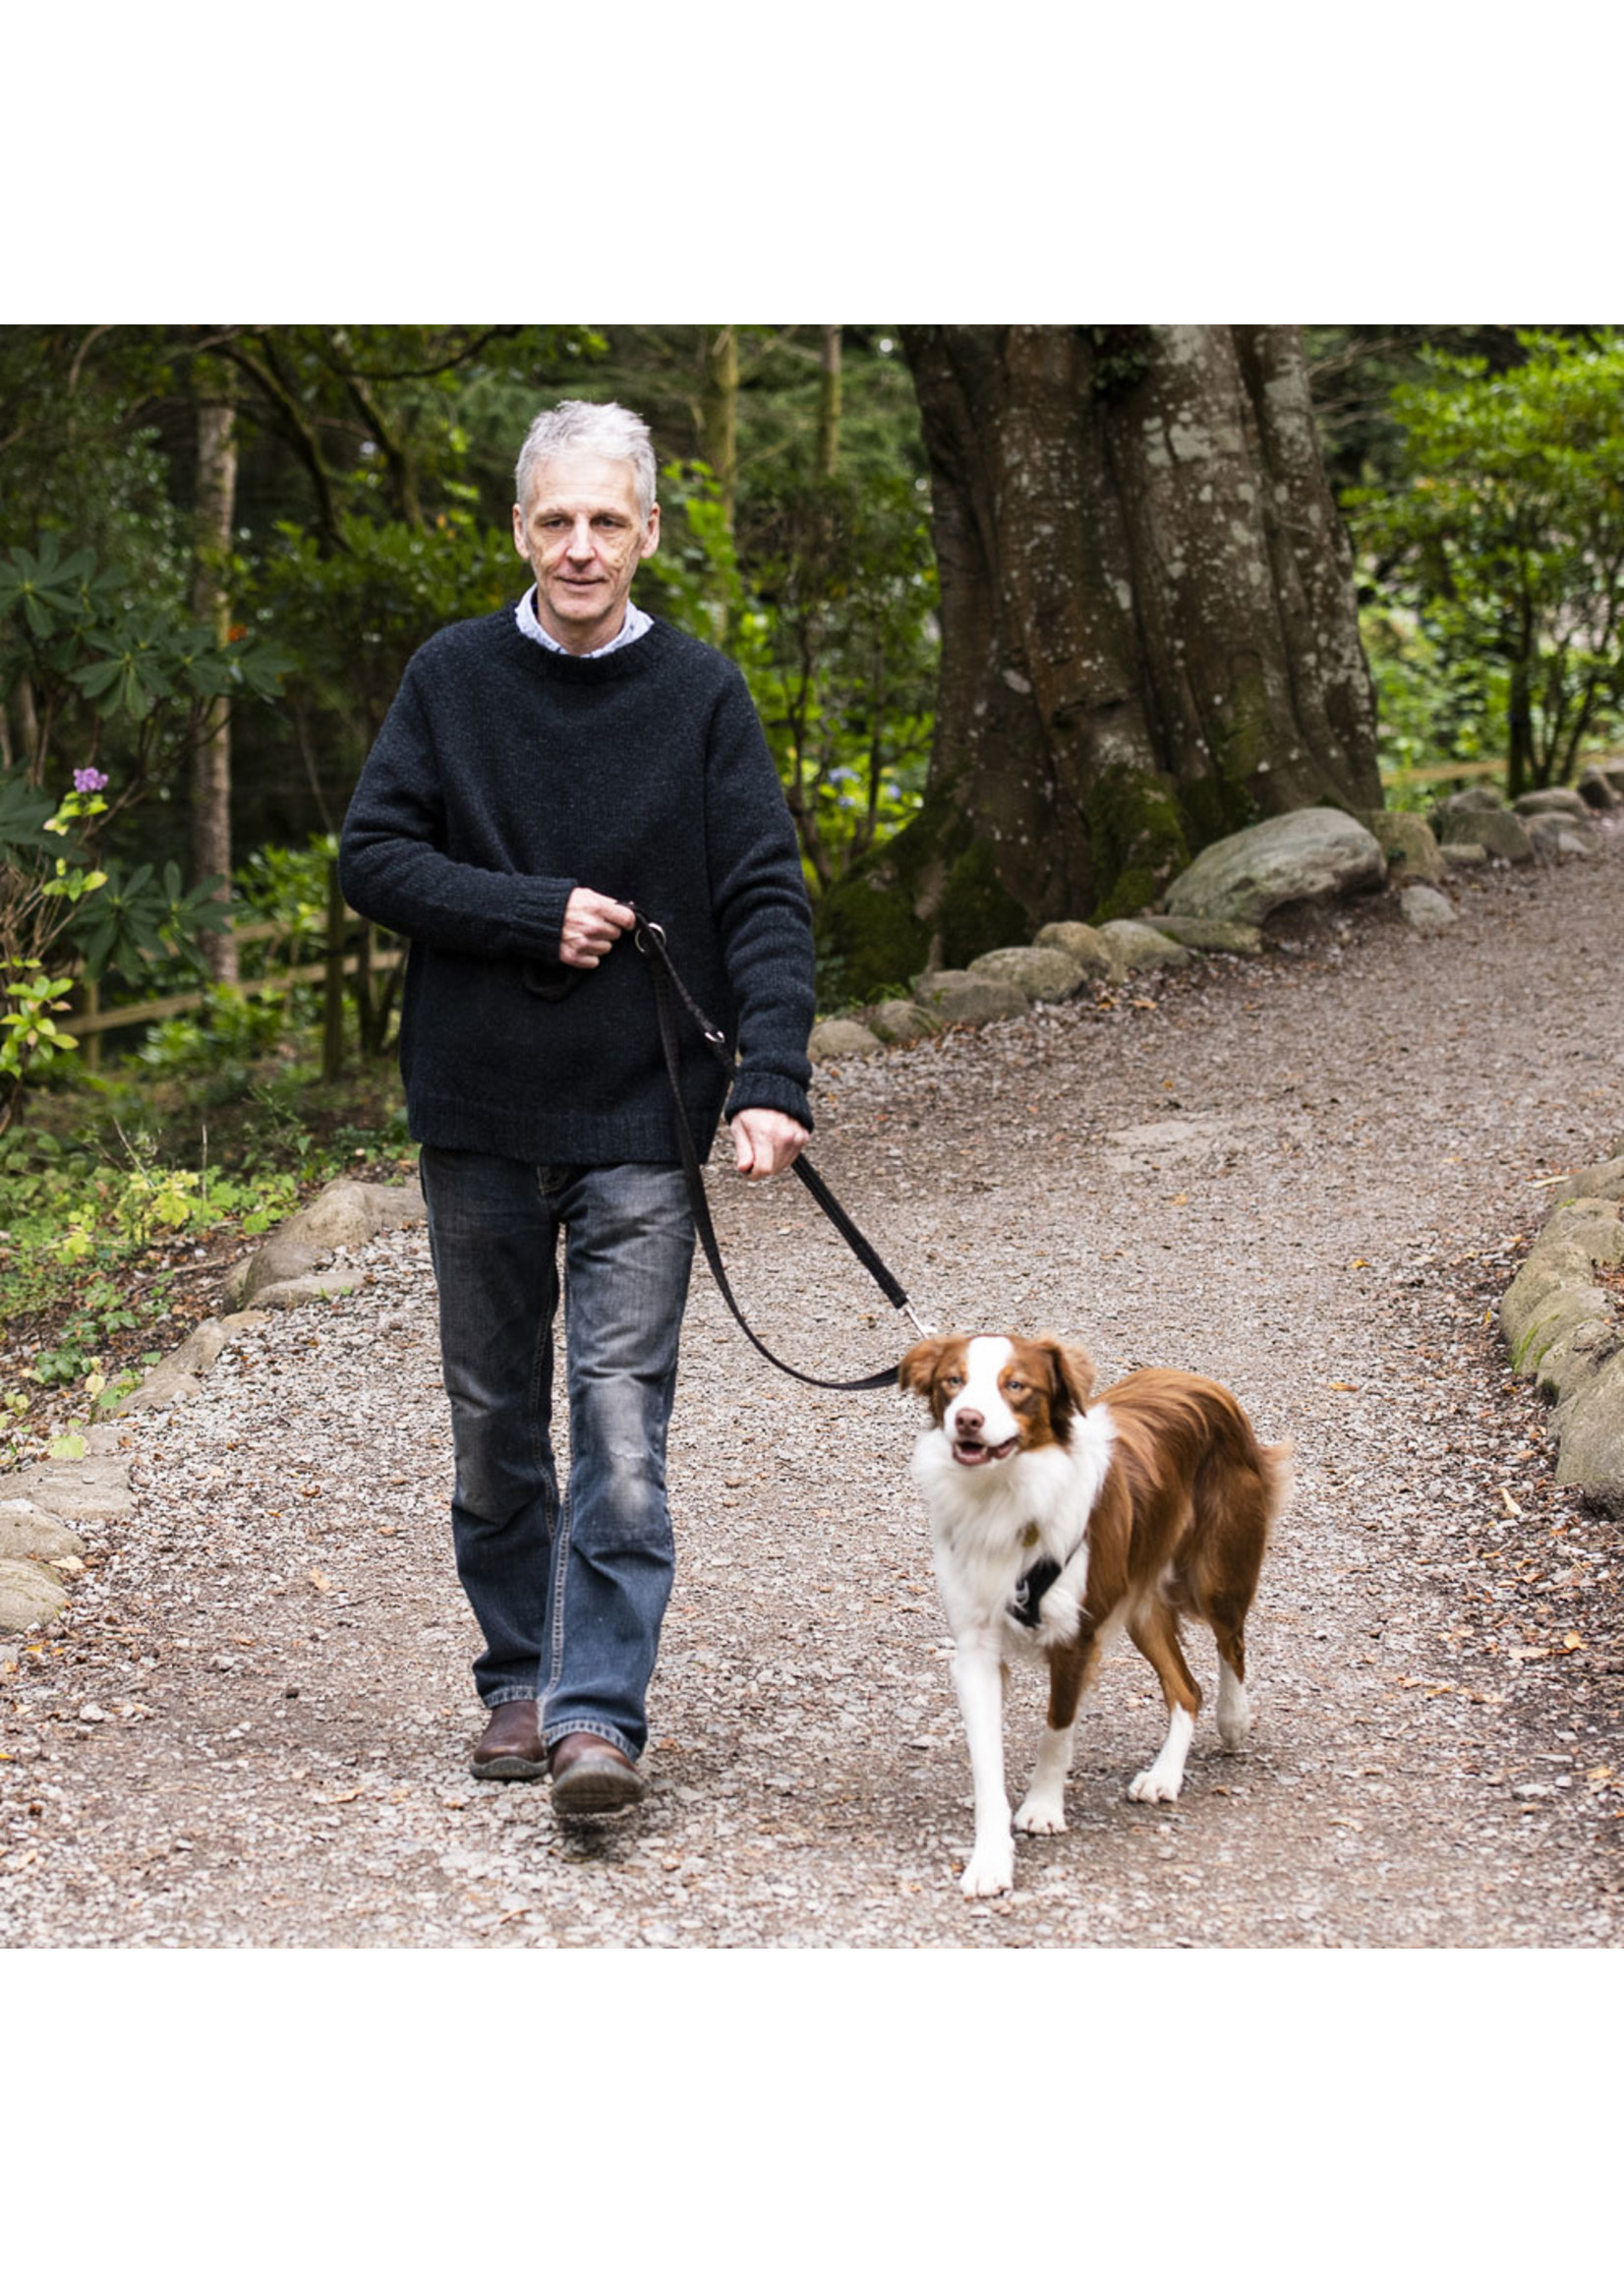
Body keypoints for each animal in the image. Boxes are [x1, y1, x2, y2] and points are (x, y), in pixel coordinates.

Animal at [891, 1327, 1282, 1900]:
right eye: (953, 1382)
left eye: (1016, 1386)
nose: (967, 1419)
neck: (1006, 1495)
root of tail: (1200, 1381)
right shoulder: (976, 1648)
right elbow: (986, 1761)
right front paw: (991, 1858)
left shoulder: (1076, 1637)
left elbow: (1057, 1730)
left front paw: (1042, 1807)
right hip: (1140, 1604)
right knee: (1186, 1688)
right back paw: (1164, 1775)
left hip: (1218, 1572)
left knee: (1231, 1644)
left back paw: (1233, 1721)